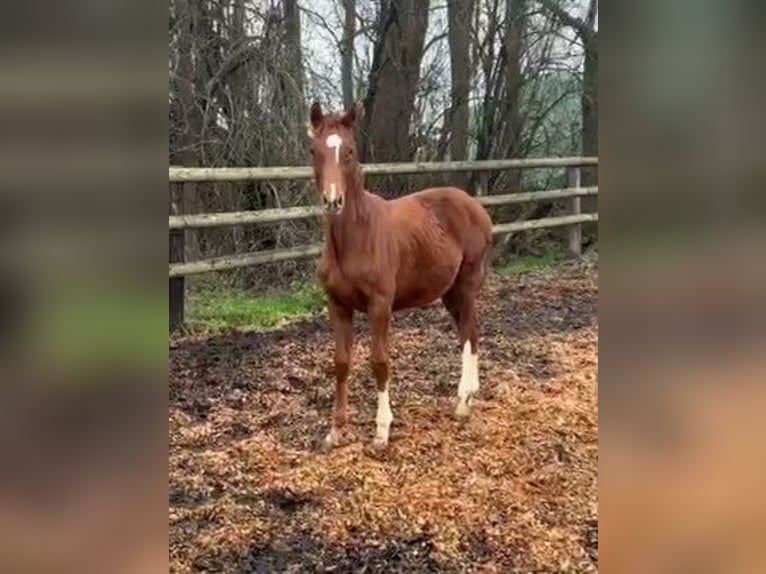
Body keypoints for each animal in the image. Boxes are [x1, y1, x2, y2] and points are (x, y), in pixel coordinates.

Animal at [308, 103, 496, 454]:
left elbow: (380, 361)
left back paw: (463, 402)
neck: (356, 238)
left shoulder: (380, 305)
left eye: (350, 151)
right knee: (469, 333)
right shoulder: (337, 305)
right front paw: (335, 431)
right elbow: (341, 362)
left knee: (470, 332)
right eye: (314, 151)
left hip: (466, 285)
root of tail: (477, 207)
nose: (333, 201)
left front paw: (381, 432)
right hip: (449, 292)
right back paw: (466, 400)